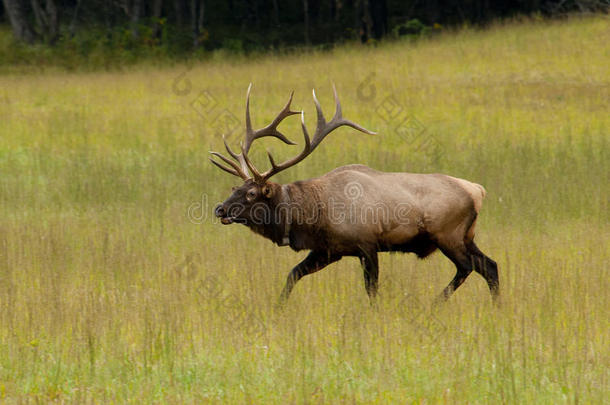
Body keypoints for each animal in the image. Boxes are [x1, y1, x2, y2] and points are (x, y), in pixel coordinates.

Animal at [211, 86, 496, 306]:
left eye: (251, 193)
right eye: (233, 189)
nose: (219, 209)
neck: (313, 216)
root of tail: (477, 190)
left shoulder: (367, 244)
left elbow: (372, 290)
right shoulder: (328, 250)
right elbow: (292, 274)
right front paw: (278, 307)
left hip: (447, 234)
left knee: (467, 267)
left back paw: (436, 303)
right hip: (467, 236)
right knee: (490, 267)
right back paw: (497, 306)